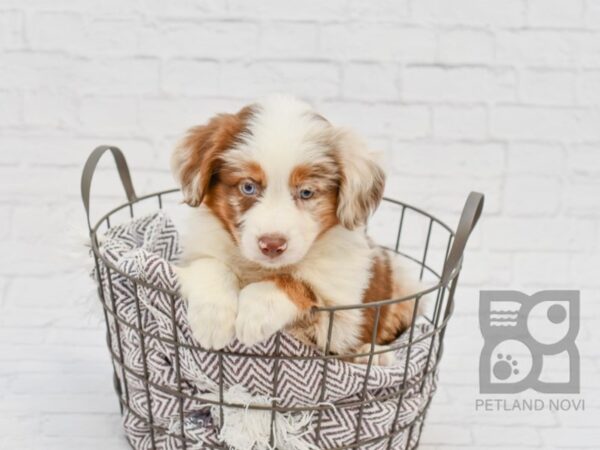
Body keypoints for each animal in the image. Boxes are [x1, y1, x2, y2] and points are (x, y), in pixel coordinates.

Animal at [173, 96, 414, 366]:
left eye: (306, 192)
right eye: (248, 187)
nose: (272, 245)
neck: (263, 269)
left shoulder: (340, 316)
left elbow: (300, 282)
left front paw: (257, 309)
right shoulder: (197, 251)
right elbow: (210, 264)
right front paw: (212, 317)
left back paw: (373, 355)